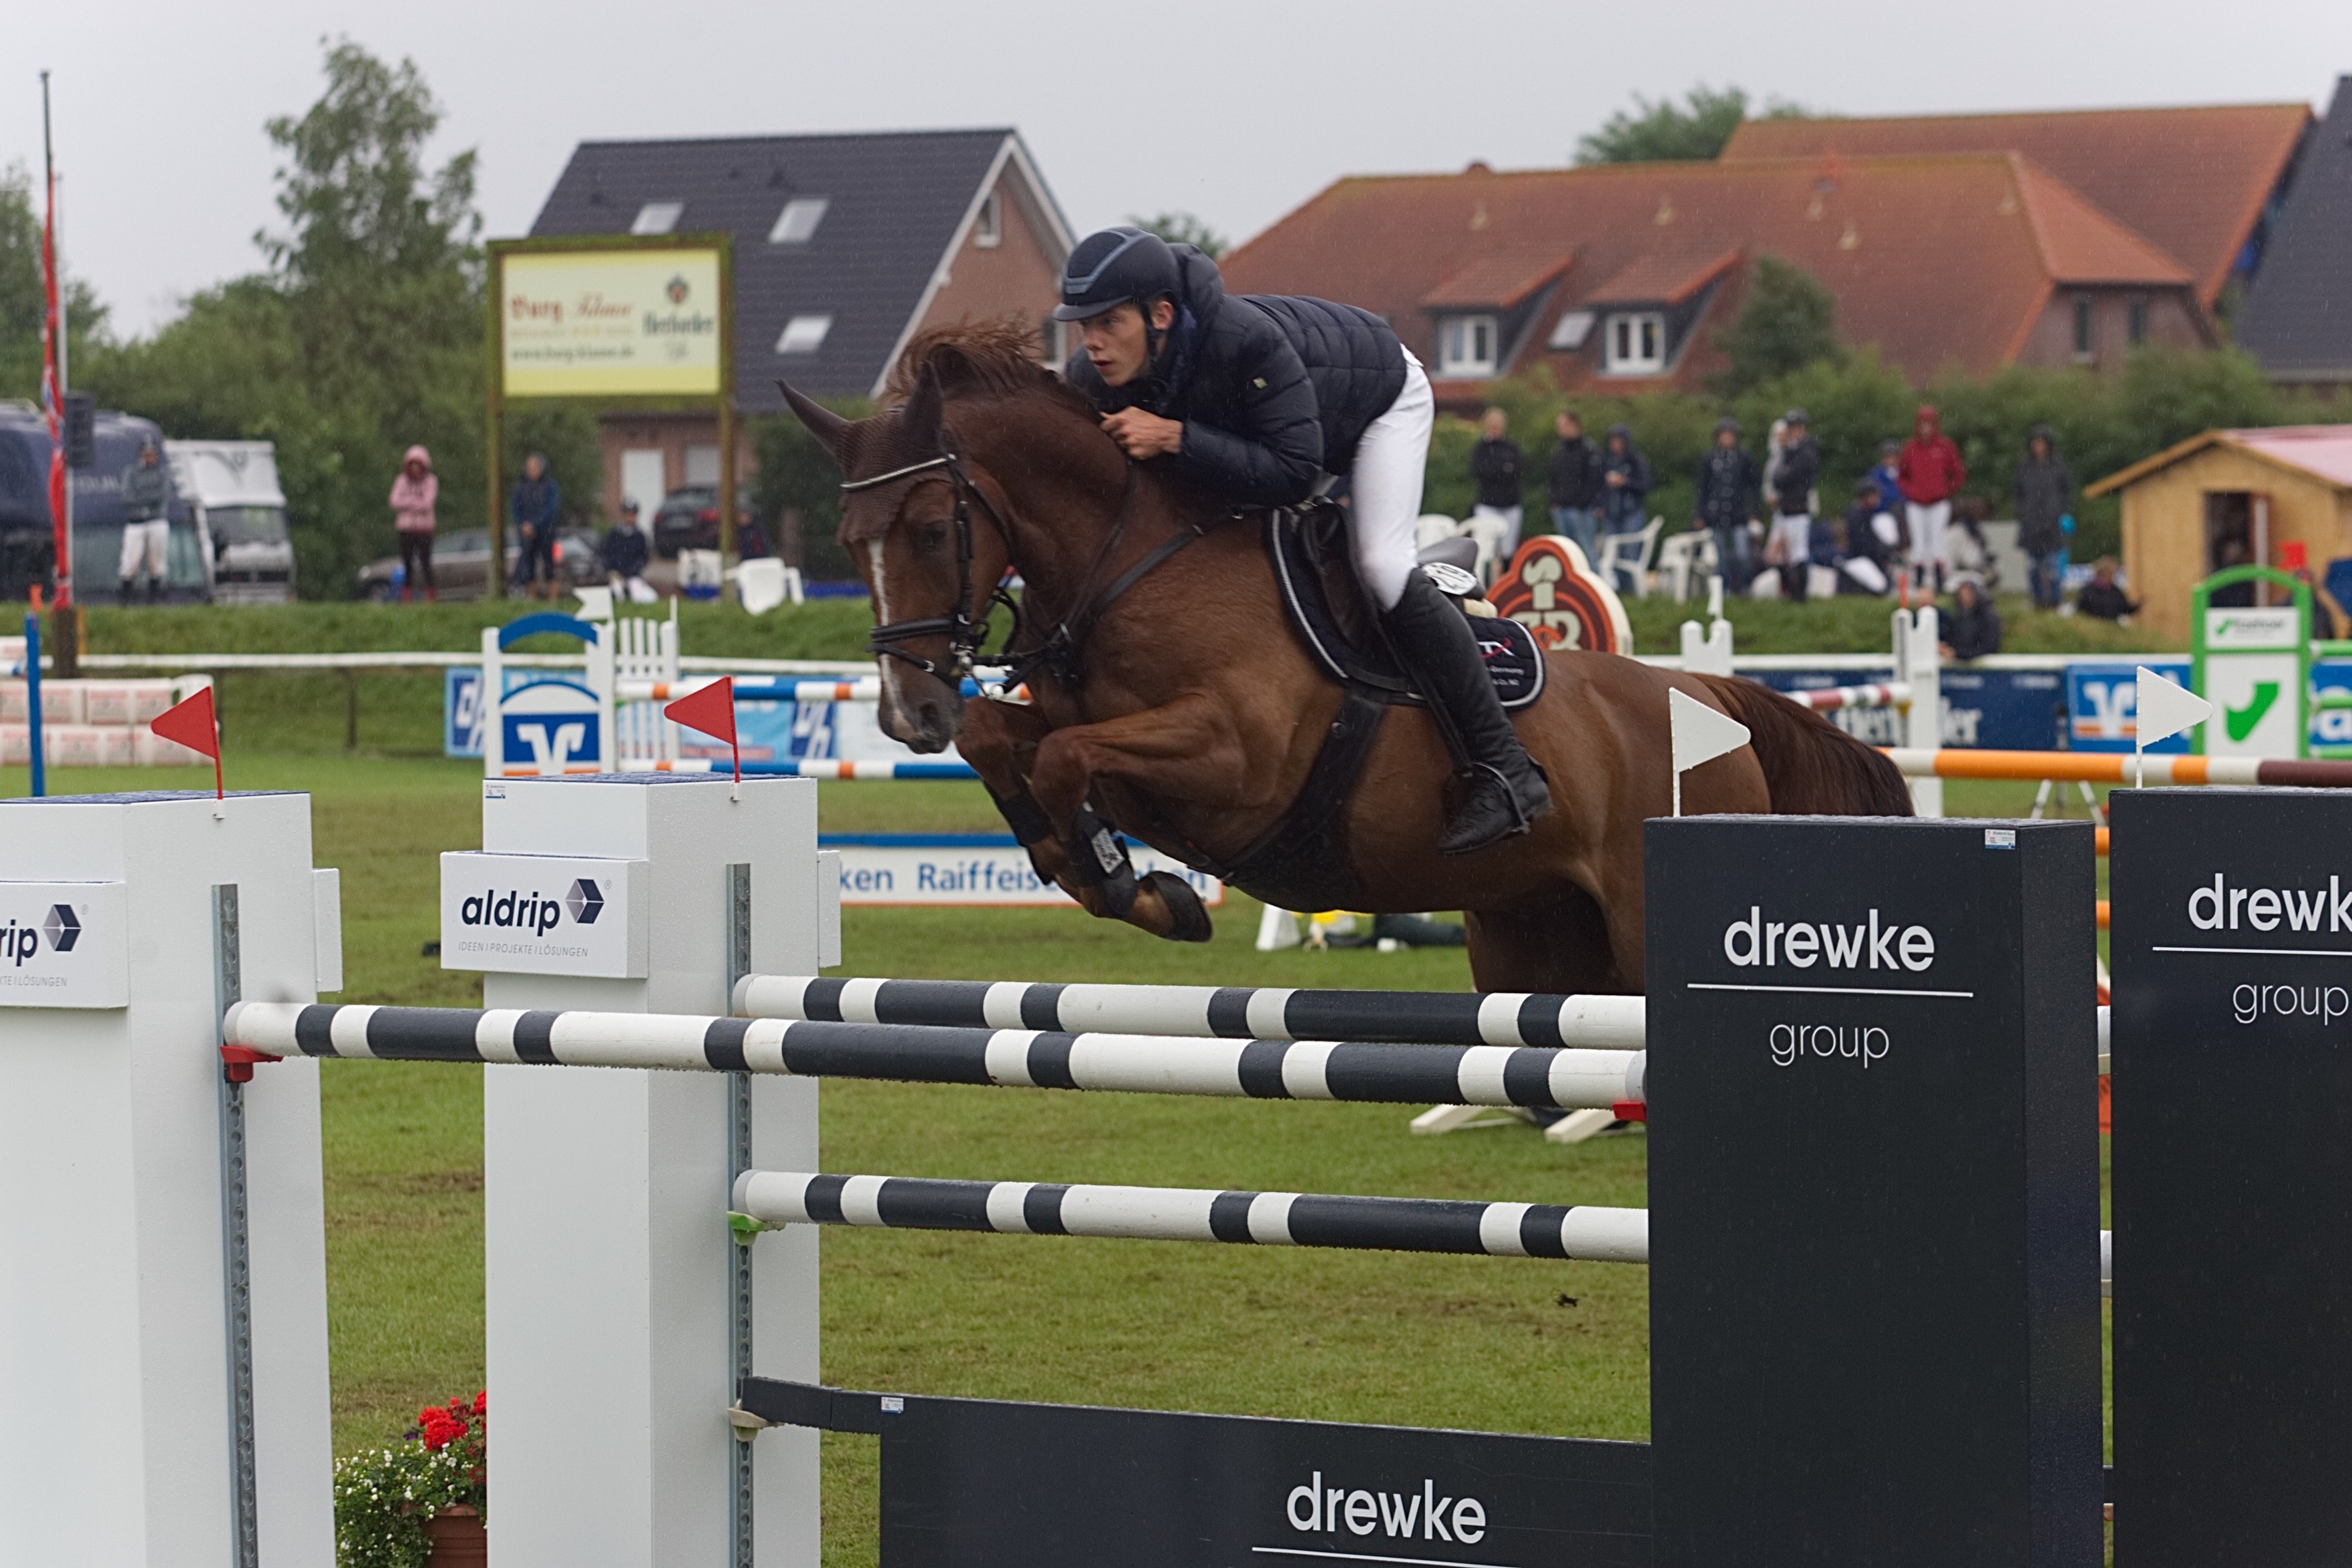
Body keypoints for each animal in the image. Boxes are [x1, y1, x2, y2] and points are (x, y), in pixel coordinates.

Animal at [781, 327, 1900, 992]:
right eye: (843, 544)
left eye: (933, 529)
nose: (906, 715)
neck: (1128, 562)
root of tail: (1707, 698)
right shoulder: (1072, 720)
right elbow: (1003, 741)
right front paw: (1098, 871)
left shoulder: (1233, 761)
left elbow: (1063, 759)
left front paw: (1125, 880)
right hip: (1533, 937)